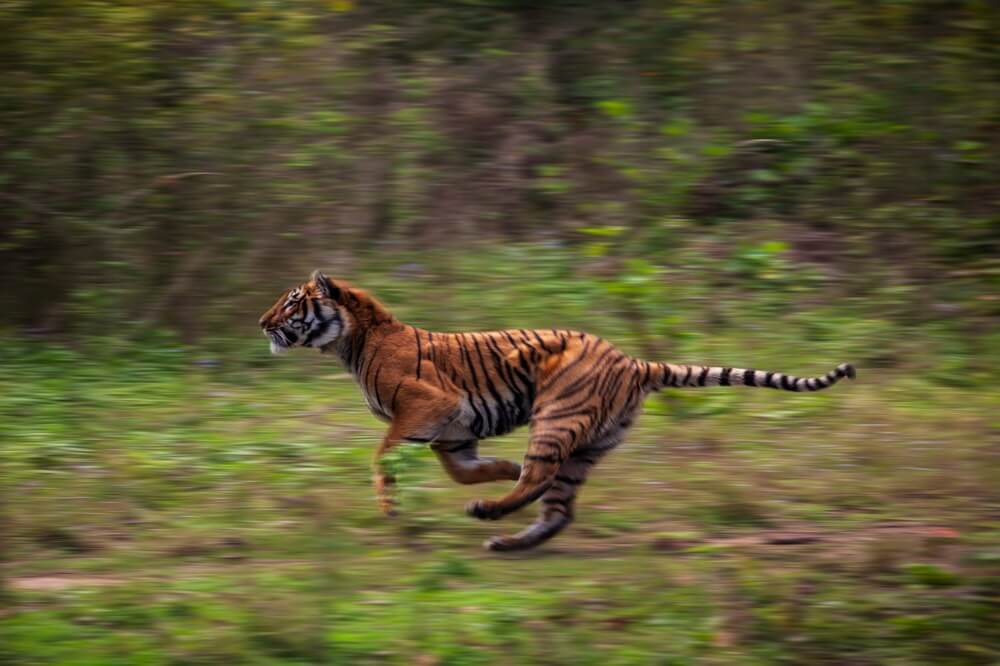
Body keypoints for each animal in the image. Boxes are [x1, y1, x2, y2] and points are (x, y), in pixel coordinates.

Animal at [259, 271, 856, 551]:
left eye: (292, 302)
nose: (261, 323)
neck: (349, 344)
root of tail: (633, 360)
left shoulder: (431, 406)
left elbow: (383, 454)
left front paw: (389, 507)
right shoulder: (454, 432)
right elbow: (460, 468)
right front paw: (499, 470)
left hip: (556, 417)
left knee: (543, 479)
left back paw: (491, 513)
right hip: (588, 445)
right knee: (558, 507)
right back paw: (506, 537)